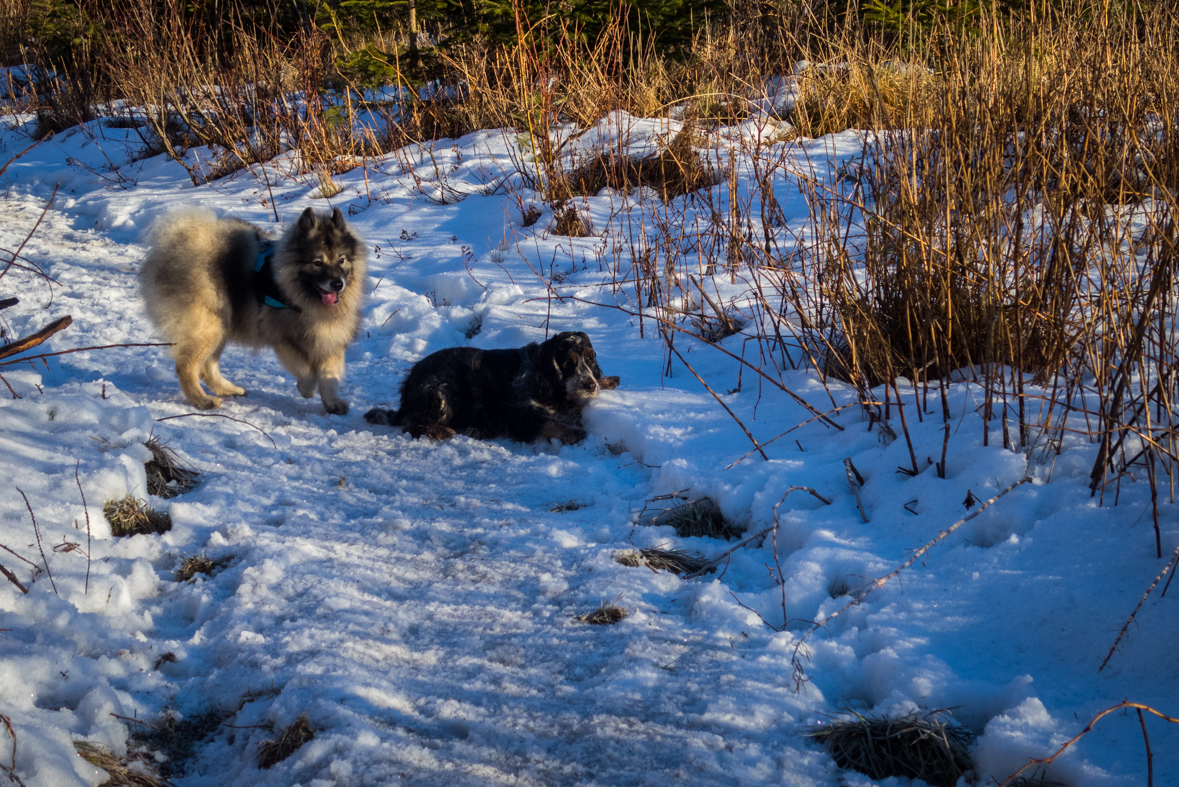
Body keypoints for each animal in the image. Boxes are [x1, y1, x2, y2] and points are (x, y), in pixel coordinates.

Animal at [135, 206, 363, 414]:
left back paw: (229, 389)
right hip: (210, 327)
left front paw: (333, 402)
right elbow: (306, 371)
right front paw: (306, 389)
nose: (337, 284)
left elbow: (329, 375)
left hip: (222, 326)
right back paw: (202, 400)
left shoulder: (330, 338)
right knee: (185, 367)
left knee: (208, 368)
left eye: (341, 260)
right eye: (317, 263)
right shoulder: (282, 338)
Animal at [363, 329, 622, 445]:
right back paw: (440, 430)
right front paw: (573, 432)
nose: (589, 385)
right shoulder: (517, 412)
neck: (540, 372)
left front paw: (607, 381)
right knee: (411, 422)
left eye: (590, 358)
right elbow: (548, 422)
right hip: (440, 392)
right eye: (569, 362)